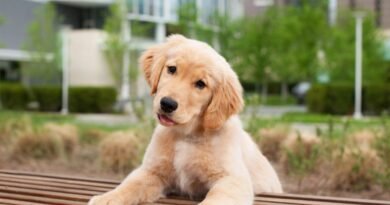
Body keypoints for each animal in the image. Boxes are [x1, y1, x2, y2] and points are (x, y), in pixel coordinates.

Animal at [89, 34, 280, 204]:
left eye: (201, 84)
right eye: (172, 69)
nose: (167, 104)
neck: (185, 135)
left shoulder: (232, 179)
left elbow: (216, 199)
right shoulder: (152, 171)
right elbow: (130, 185)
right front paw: (106, 198)